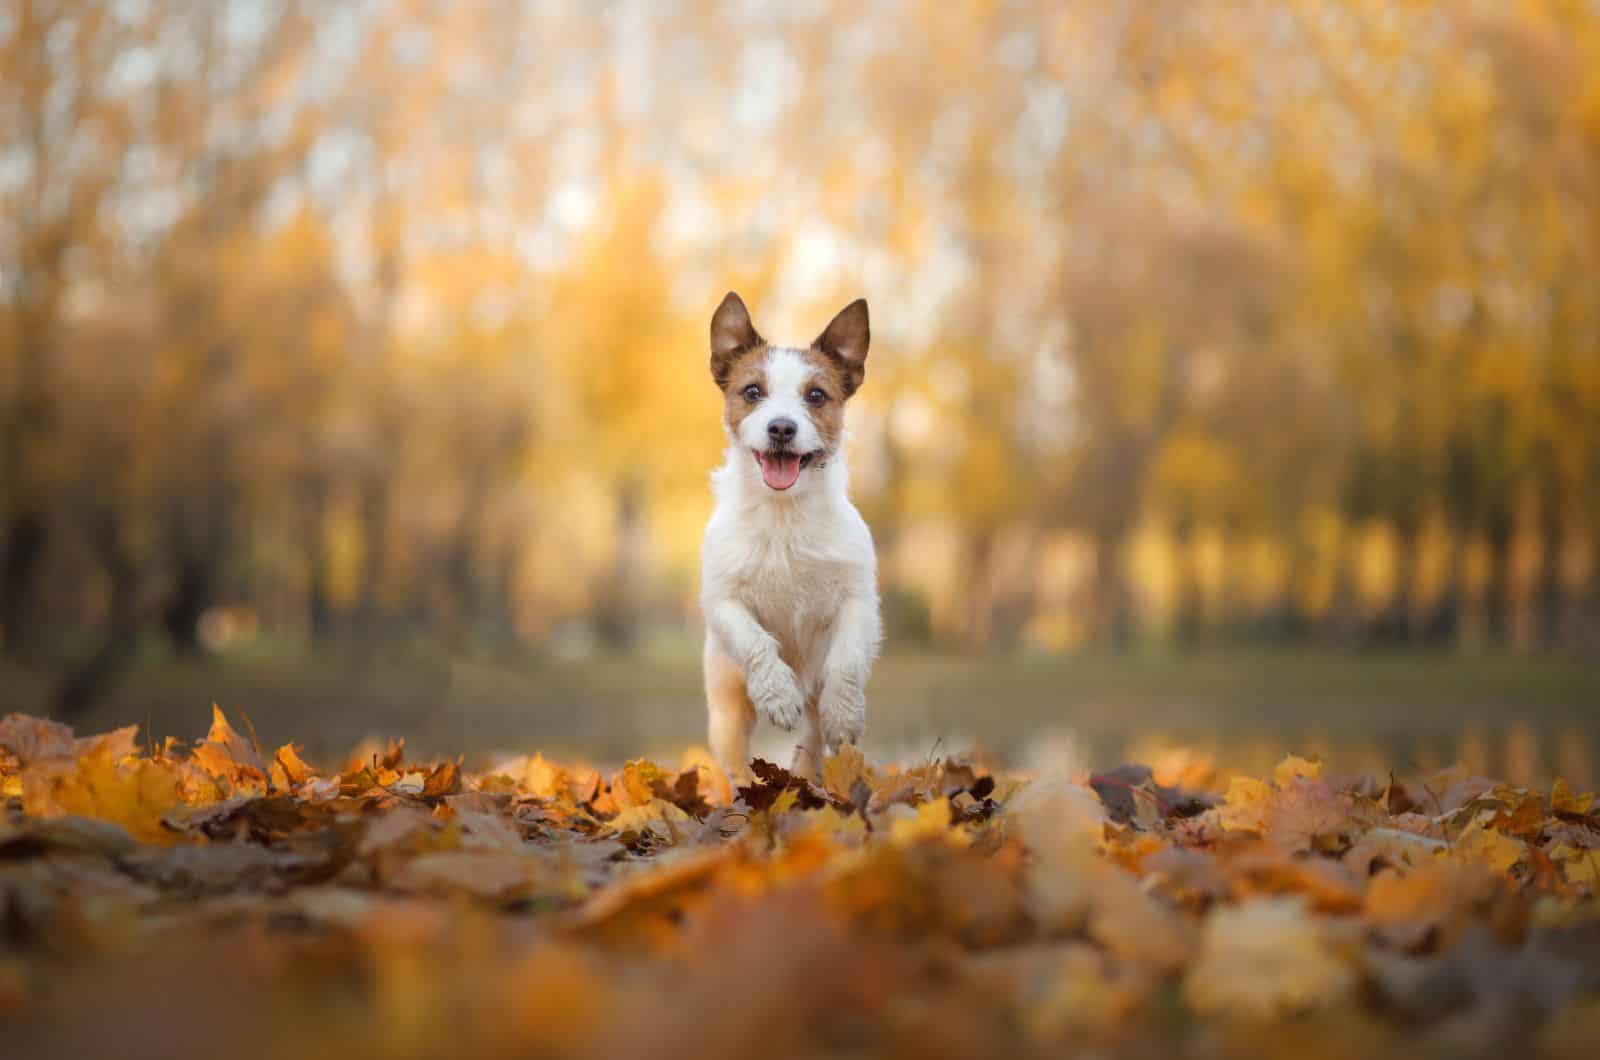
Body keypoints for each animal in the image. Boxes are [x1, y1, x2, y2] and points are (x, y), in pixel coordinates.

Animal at [697, 294, 883, 784]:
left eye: (816, 395)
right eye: (752, 392)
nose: (781, 428)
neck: (784, 515)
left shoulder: (858, 601)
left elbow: (846, 661)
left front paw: (845, 714)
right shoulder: (724, 602)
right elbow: (757, 642)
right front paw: (778, 695)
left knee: (812, 740)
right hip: (725, 710)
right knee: (735, 760)